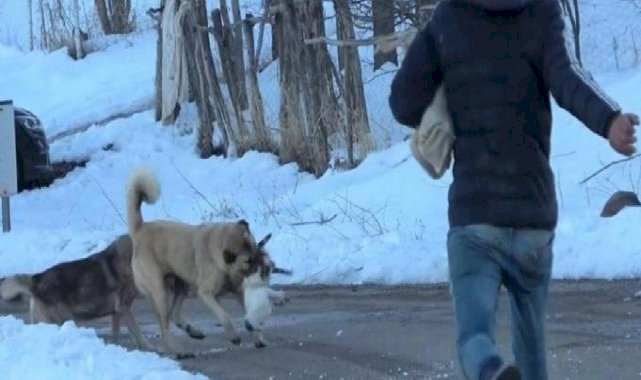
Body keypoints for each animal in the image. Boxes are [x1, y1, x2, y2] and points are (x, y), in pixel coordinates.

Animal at [126, 168, 262, 354]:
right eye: (248, 260)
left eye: (256, 249)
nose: (262, 267)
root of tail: (140, 230)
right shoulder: (206, 295)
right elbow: (224, 316)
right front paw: (234, 336)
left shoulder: (238, 293)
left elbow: (249, 316)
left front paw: (258, 338)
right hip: (160, 292)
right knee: (164, 324)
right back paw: (177, 350)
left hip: (181, 285)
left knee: (174, 315)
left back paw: (193, 331)